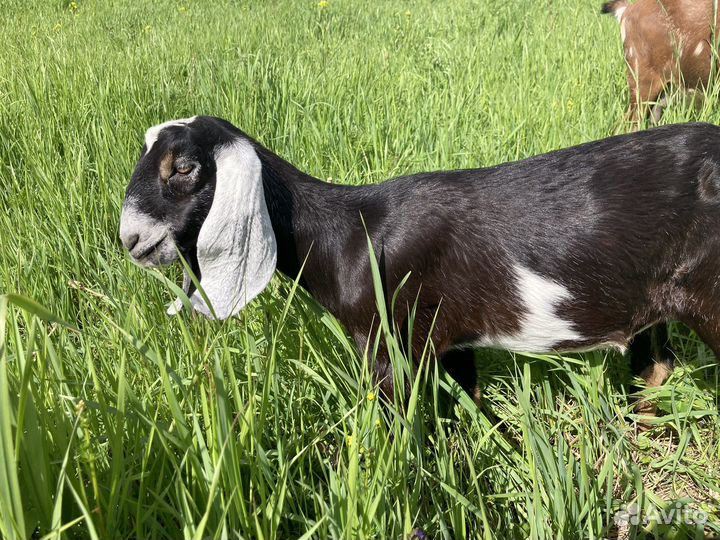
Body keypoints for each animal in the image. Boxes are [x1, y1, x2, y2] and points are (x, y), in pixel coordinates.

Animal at [120, 116, 720, 408]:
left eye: (183, 167)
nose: (130, 239)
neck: (349, 236)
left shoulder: (389, 346)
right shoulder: (452, 341)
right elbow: (468, 411)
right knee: (655, 369)